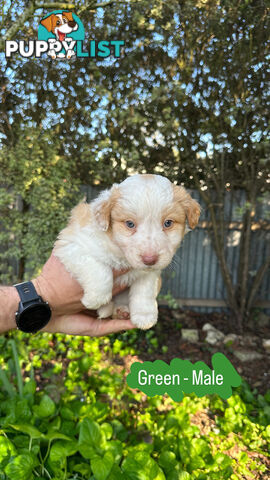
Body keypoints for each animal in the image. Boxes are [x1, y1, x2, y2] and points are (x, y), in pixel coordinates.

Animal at [53, 175, 200, 330]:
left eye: (168, 223)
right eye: (130, 224)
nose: (149, 259)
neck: (121, 254)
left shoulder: (149, 273)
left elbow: (144, 291)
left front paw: (144, 316)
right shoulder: (70, 245)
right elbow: (99, 270)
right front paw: (95, 299)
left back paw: (121, 311)